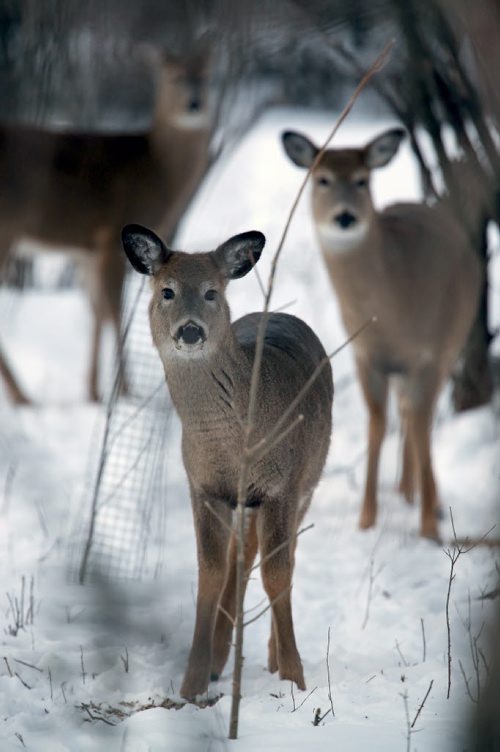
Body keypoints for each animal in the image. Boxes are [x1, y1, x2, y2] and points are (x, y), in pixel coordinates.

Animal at [0, 44, 213, 402]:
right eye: (173, 77)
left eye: (205, 74)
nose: (195, 103)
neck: (157, 169)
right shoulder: (112, 234)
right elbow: (114, 312)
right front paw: (123, 392)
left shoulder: (86, 249)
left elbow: (96, 310)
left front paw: (93, 390)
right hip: (8, 229)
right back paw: (22, 397)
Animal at [120, 222, 332, 700]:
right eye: (167, 291)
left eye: (212, 292)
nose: (191, 330)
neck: (231, 447)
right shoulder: (203, 485)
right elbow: (212, 571)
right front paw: (193, 681)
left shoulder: (280, 485)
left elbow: (278, 574)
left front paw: (294, 676)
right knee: (243, 555)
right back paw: (221, 658)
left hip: (309, 477)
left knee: (279, 555)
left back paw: (271, 657)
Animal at [282, 128, 480, 540]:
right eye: (322, 179)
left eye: (362, 179)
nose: (345, 216)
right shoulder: (365, 356)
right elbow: (376, 424)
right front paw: (367, 519)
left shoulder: (429, 354)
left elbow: (421, 426)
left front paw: (429, 525)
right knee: (405, 412)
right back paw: (405, 490)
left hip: (451, 343)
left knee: (420, 417)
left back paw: (423, 497)